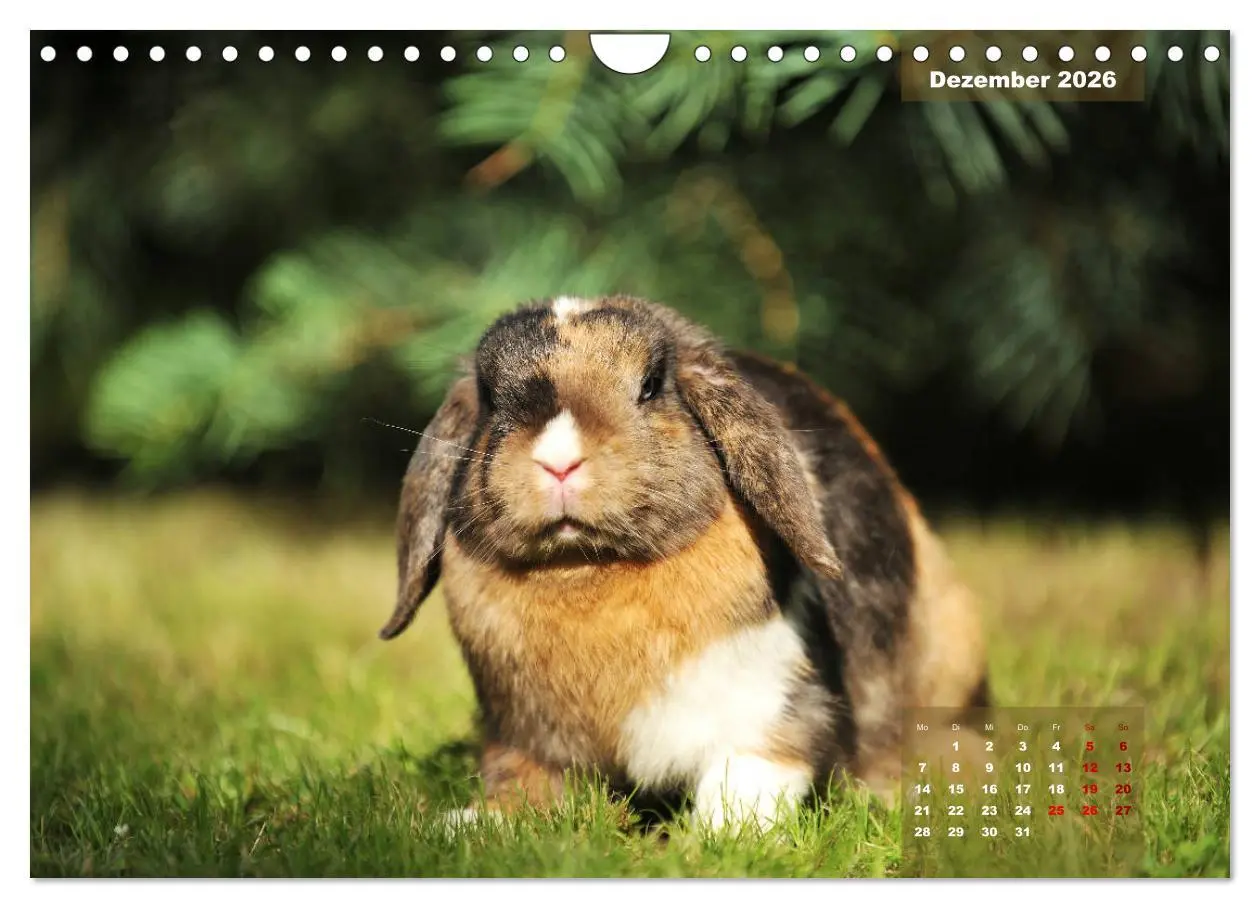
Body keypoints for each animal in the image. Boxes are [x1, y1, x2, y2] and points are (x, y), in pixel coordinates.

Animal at [380, 294, 989, 833]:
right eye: (489, 396)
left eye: (651, 384)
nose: (558, 460)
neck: (587, 569)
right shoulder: (522, 735)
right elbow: (522, 785)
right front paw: (469, 826)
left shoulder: (769, 712)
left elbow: (748, 778)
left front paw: (721, 839)